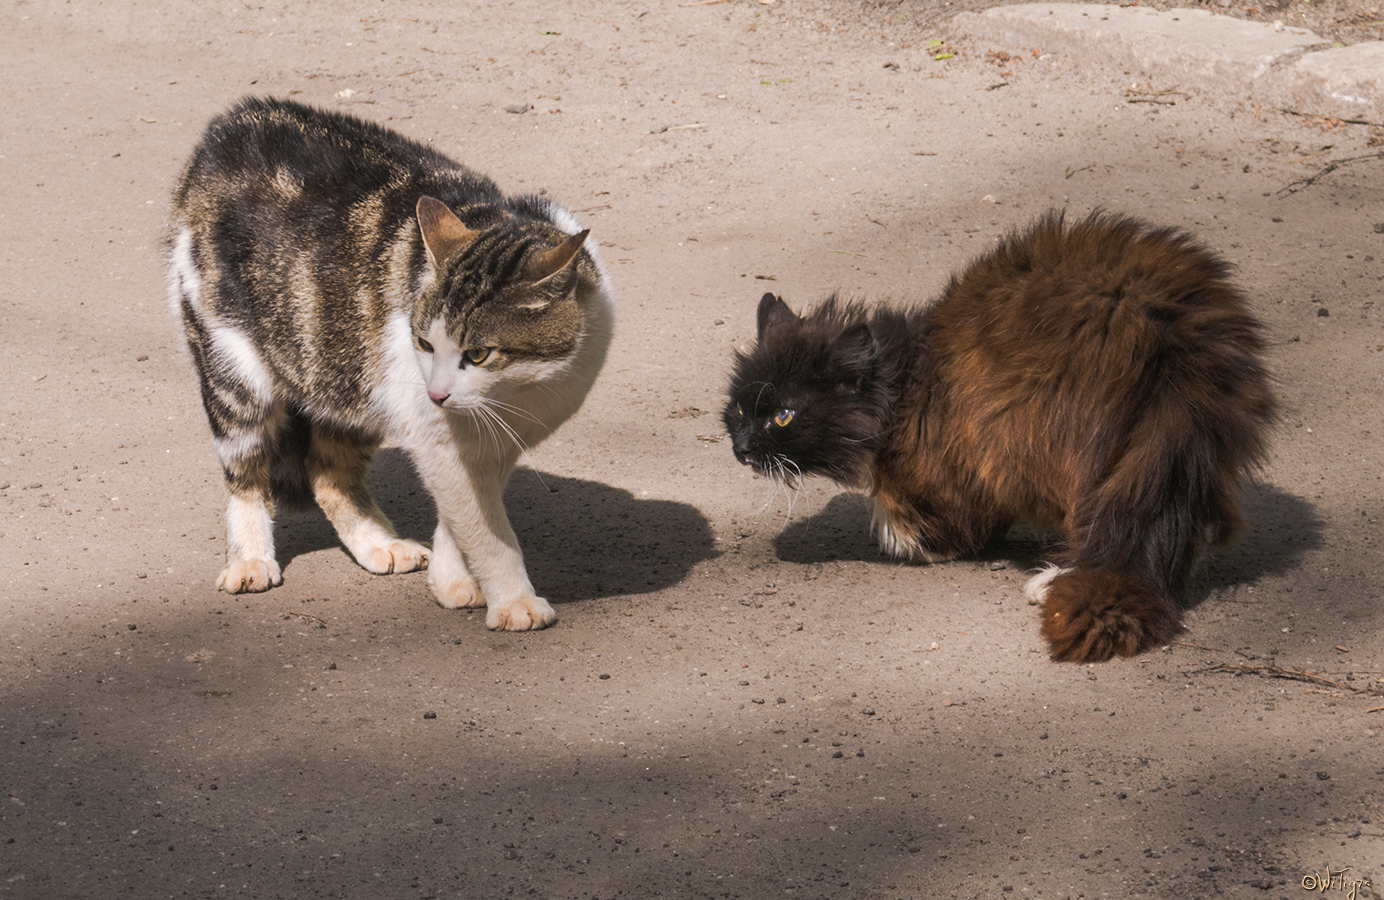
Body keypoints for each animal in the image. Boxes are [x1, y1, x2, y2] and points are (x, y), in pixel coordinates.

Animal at [167, 96, 611, 631]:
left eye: (478, 353)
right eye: (422, 342)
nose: (437, 392)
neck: (522, 395)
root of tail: (236, 118)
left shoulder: (497, 442)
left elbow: (463, 514)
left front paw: (451, 580)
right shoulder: (436, 434)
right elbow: (486, 531)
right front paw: (513, 600)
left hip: (345, 377)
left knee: (328, 474)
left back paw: (376, 543)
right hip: (236, 369)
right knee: (246, 470)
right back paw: (250, 558)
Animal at [725, 210, 1273, 659]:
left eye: (783, 416)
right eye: (741, 409)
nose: (742, 447)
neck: (908, 380)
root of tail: (1172, 349)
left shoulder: (954, 449)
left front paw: (918, 538)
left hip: (1034, 428)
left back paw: (1053, 577)